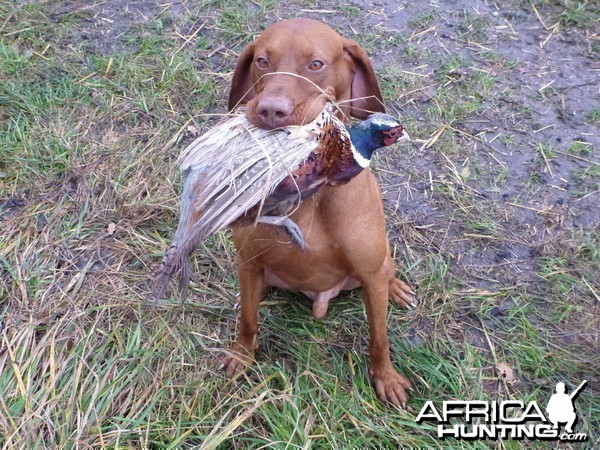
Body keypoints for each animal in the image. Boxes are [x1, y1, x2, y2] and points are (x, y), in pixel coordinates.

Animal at [223, 18, 414, 408]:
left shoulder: (370, 274)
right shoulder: (249, 262)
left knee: (386, 273)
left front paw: (385, 378)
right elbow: (248, 321)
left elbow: (380, 338)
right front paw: (242, 354)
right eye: (262, 61)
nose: (271, 110)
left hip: (376, 267)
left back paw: (397, 288)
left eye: (316, 64)